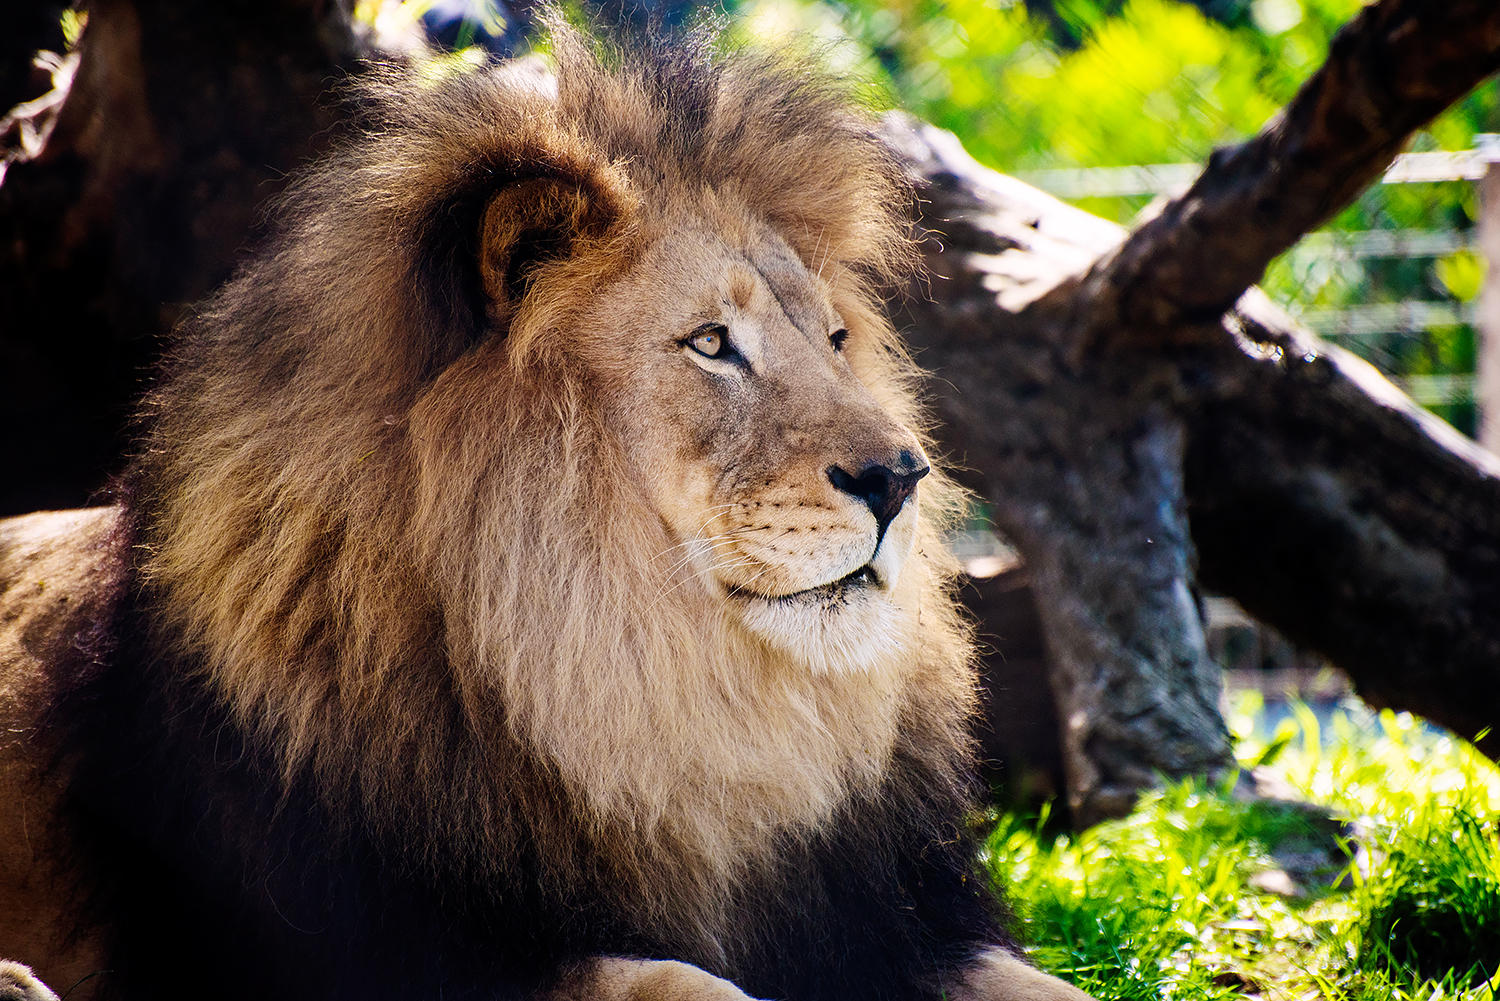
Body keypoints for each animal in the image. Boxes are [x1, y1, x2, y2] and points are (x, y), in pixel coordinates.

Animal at [0, 22, 1095, 1001]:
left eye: (834, 339)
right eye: (711, 343)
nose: (902, 478)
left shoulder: (888, 927)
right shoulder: (371, 955)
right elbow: (675, 982)